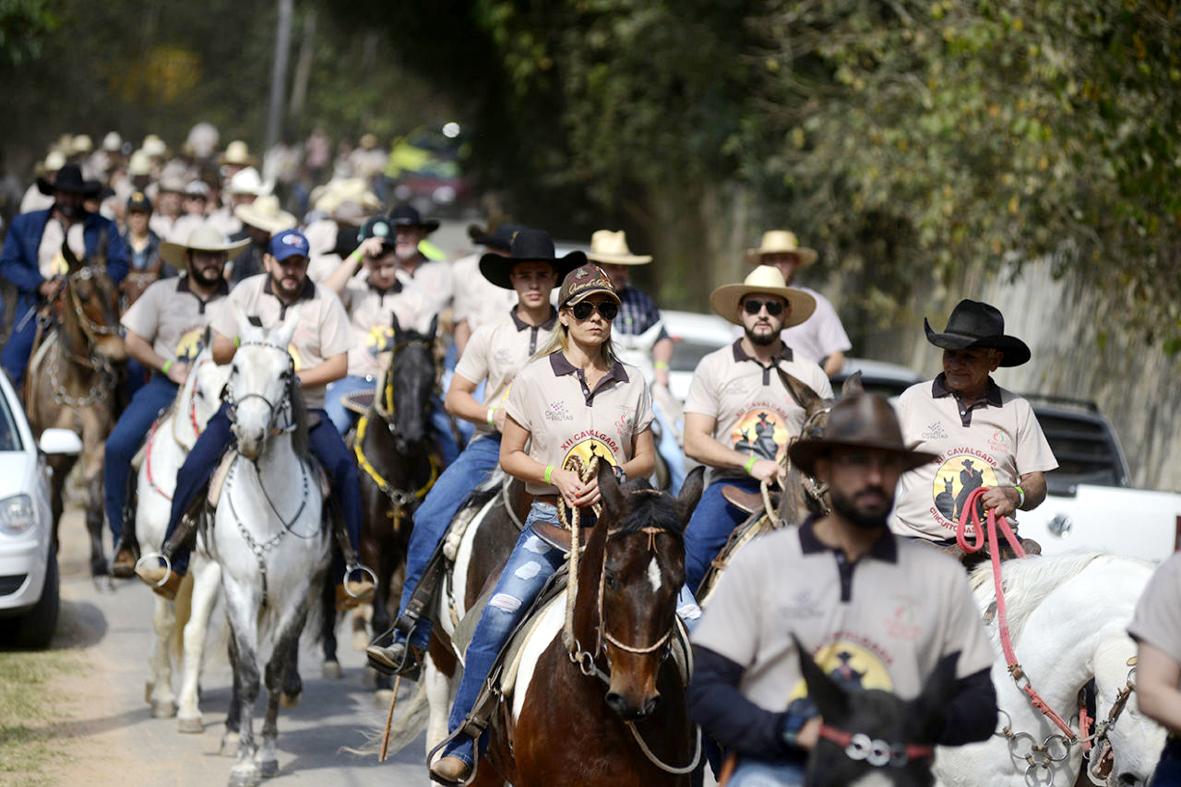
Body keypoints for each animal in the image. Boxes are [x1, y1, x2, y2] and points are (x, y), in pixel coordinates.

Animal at [136, 347, 230, 718]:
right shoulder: (154, 557)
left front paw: (189, 708)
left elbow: (195, 631)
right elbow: (163, 625)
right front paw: (164, 698)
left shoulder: (211, 567)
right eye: (200, 391)